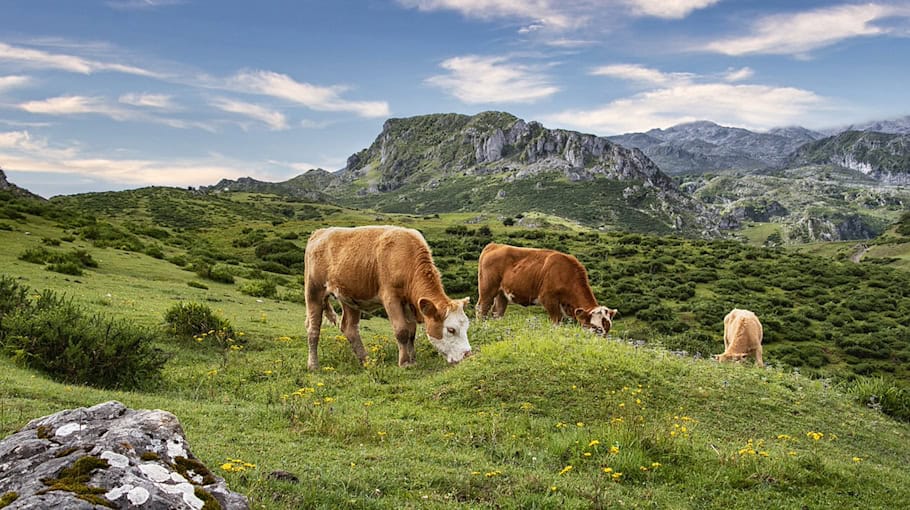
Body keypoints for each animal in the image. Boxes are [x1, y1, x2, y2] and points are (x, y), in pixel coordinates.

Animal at [308, 227, 478, 370]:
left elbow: (411, 332)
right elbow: (402, 330)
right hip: (314, 290)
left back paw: (367, 361)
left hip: (350, 297)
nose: (467, 355)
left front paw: (413, 359)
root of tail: (320, 232)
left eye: (466, 326)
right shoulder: (391, 297)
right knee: (313, 328)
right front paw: (404, 362)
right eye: (451, 329)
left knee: (350, 328)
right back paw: (313, 365)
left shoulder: (409, 302)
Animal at [478, 242, 620, 334]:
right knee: (482, 308)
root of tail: (495, 245)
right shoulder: (548, 299)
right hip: (487, 288)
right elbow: (556, 322)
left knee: (497, 312)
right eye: (597, 329)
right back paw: (482, 327)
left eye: (608, 329)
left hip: (502, 293)